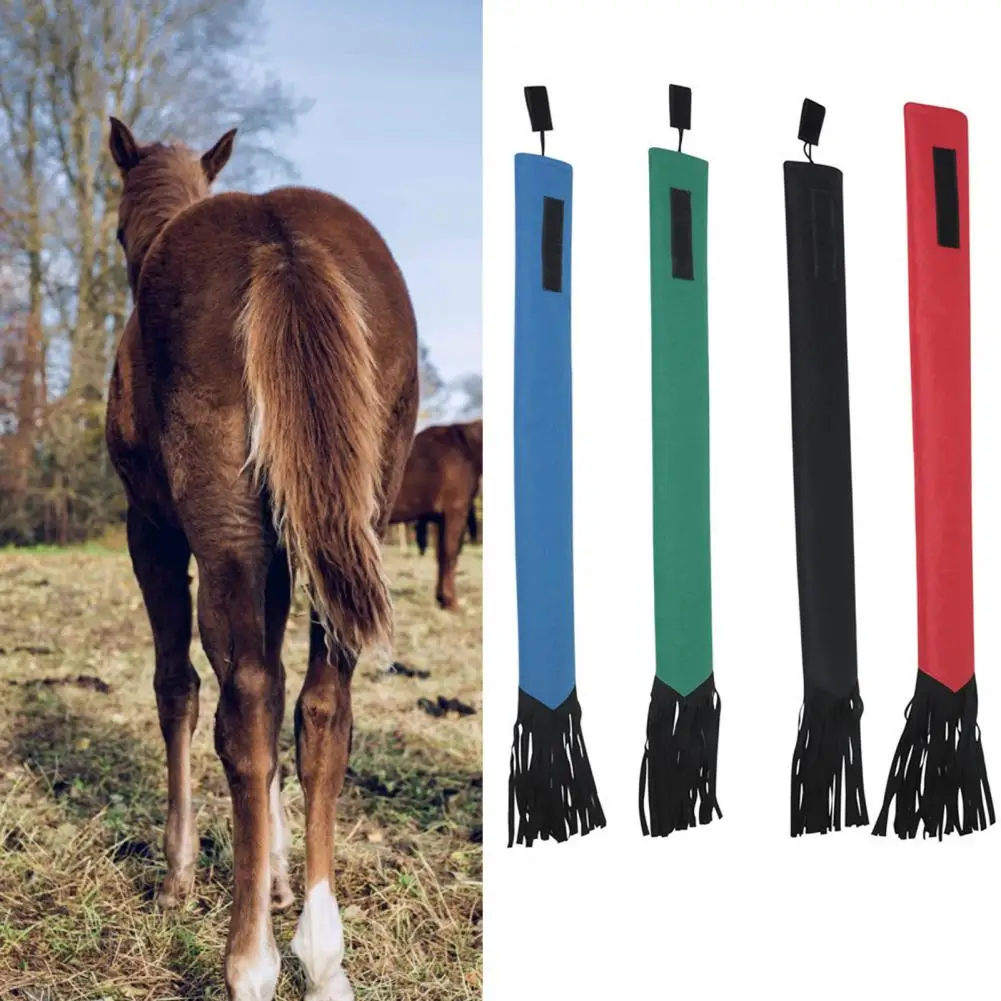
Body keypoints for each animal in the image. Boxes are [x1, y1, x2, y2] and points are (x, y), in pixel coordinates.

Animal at [104, 117, 418, 1001]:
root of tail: (282, 245)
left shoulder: (152, 530)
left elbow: (177, 686)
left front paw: (177, 876)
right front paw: (275, 877)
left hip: (223, 535)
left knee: (243, 699)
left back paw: (250, 960)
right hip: (346, 525)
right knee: (320, 705)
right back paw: (320, 949)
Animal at [388, 418, 481, 609]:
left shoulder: (440, 518)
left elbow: (441, 555)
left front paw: (442, 599)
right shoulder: (456, 511)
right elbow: (450, 554)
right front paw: (451, 602)